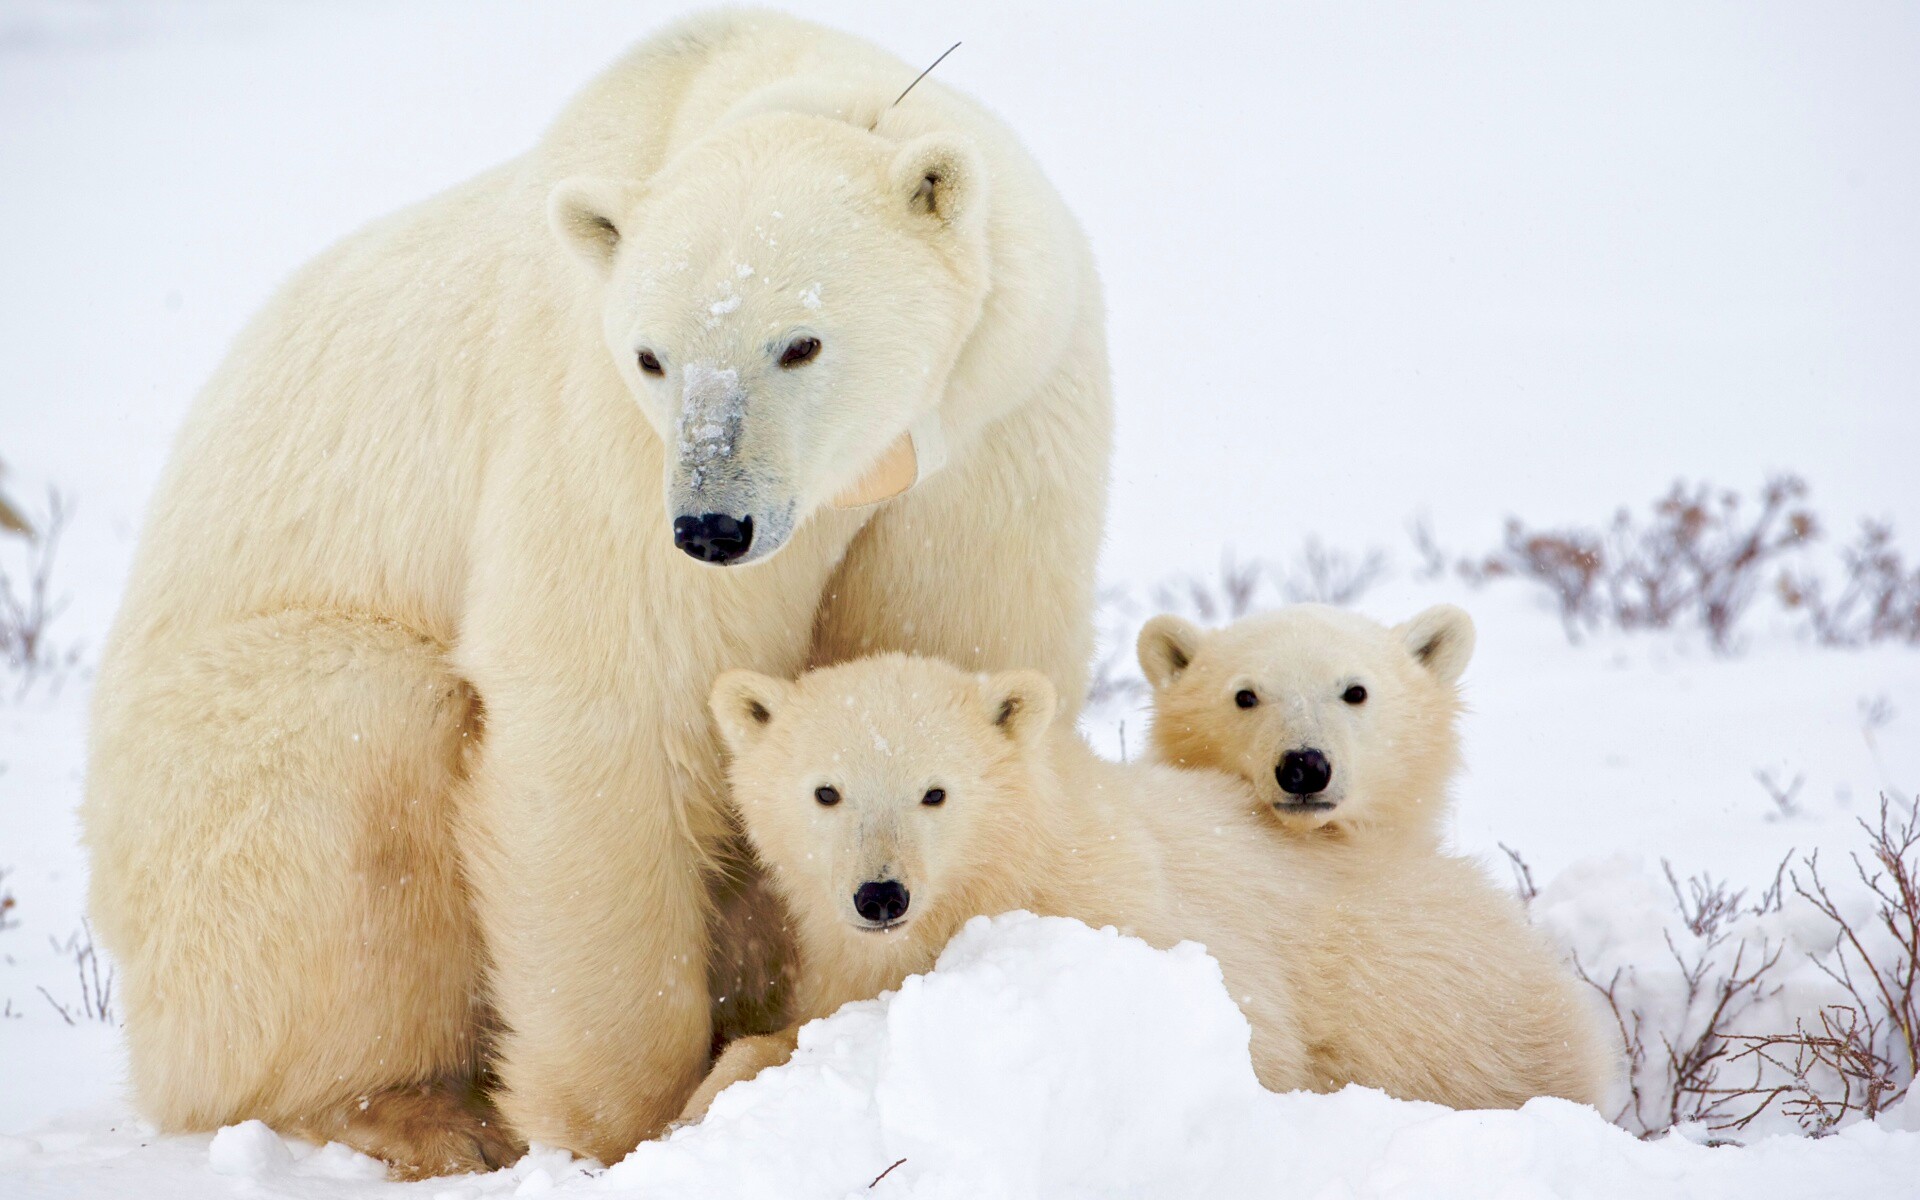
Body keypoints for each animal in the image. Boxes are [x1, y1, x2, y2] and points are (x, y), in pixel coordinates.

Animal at [82, 11, 1113, 1182]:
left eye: (801, 341)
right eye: (653, 355)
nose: (713, 526)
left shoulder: (995, 427)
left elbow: (949, 653)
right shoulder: (602, 431)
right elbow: (611, 699)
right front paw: (630, 1122)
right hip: (208, 792)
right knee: (354, 764)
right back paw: (420, 1113)